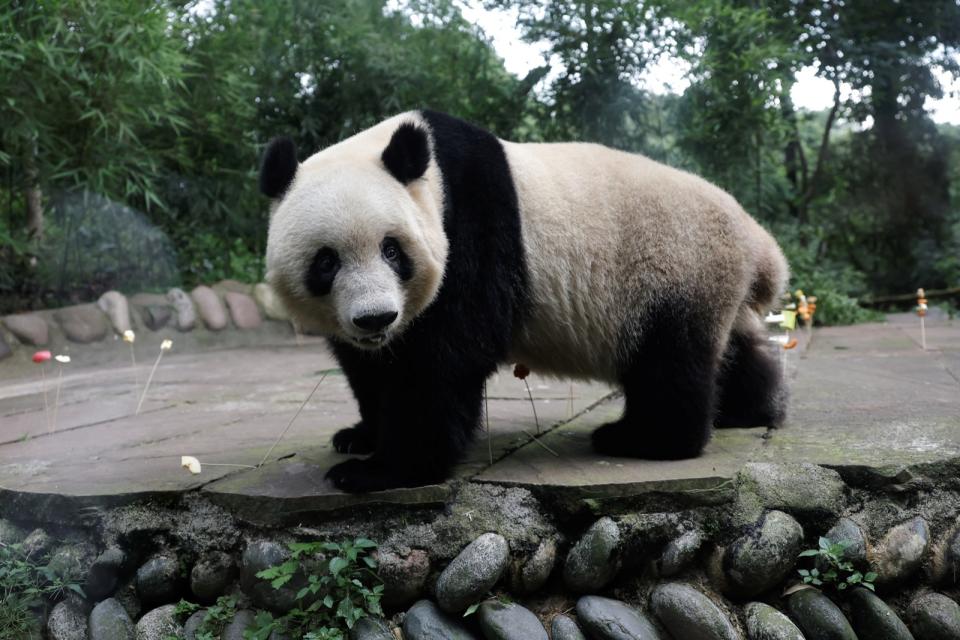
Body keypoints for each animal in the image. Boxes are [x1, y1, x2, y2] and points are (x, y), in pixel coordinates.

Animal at [260, 110, 788, 492]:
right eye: (326, 262)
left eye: (392, 249)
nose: (376, 318)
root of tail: (757, 240)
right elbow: (371, 369)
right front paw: (359, 436)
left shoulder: (472, 227)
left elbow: (444, 358)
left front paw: (383, 470)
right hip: (712, 283)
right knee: (734, 348)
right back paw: (747, 412)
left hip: (672, 268)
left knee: (670, 363)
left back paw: (642, 438)